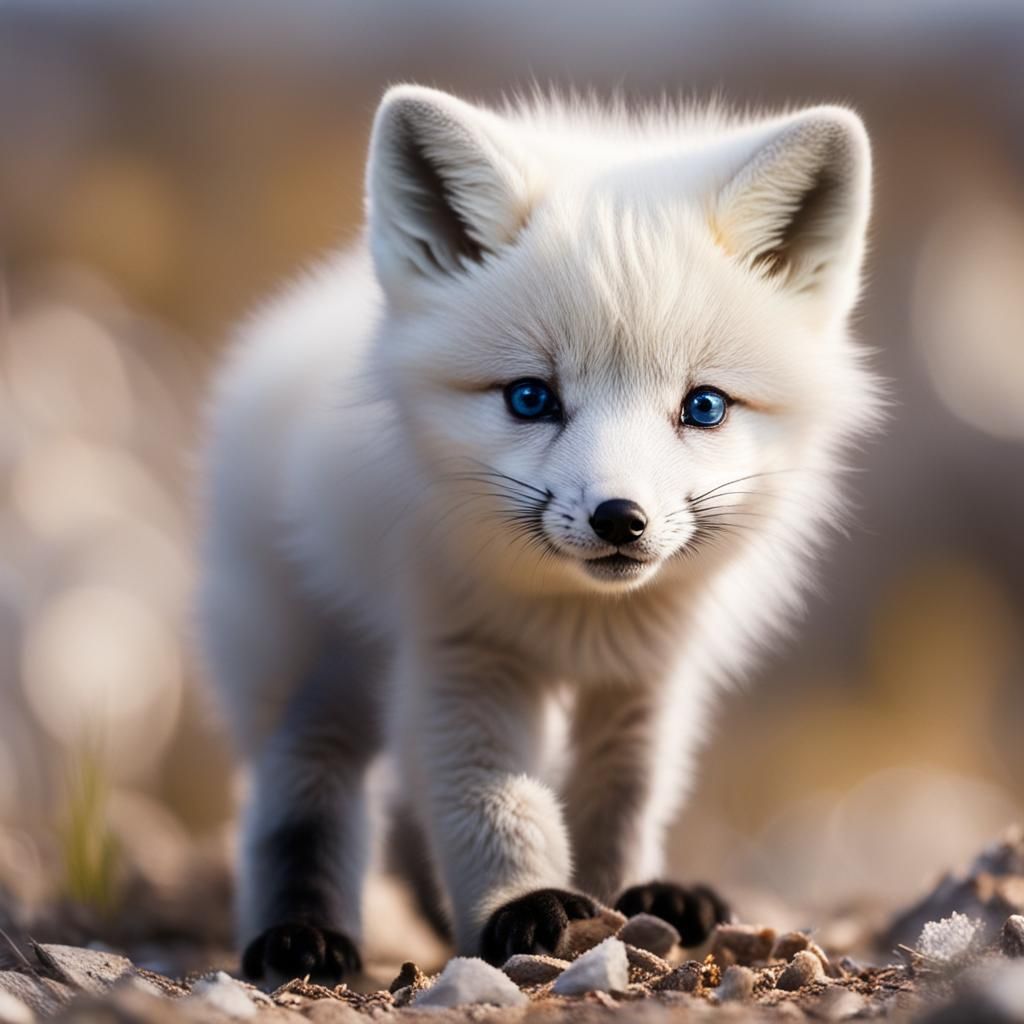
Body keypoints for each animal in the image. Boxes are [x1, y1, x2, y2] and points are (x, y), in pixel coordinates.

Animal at [197, 84, 879, 984]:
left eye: (703, 406)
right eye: (530, 398)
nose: (620, 518)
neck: (576, 621)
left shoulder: (646, 676)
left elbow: (619, 798)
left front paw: (627, 902)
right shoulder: (463, 652)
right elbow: (490, 799)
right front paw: (522, 906)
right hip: (315, 663)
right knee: (301, 797)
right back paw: (299, 934)